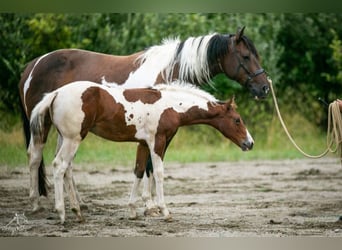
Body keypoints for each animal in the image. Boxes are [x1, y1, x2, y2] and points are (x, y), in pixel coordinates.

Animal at [19, 26, 268, 209]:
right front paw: (150, 205)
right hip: (45, 127)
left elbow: (149, 165)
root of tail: (31, 66)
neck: (170, 70)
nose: (264, 87)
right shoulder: (153, 133)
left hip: (69, 130)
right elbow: (149, 166)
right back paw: (36, 203)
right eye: (246, 56)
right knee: (35, 156)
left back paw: (76, 203)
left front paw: (150, 203)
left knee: (64, 162)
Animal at [28, 81, 254, 224]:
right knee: (59, 166)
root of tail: (56, 94)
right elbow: (159, 173)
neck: (171, 105)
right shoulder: (157, 141)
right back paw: (62, 214)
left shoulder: (144, 144)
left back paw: (77, 212)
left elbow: (139, 170)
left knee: (66, 169)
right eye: (237, 120)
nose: (250, 143)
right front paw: (164, 211)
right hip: (72, 139)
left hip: (65, 138)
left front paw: (132, 210)